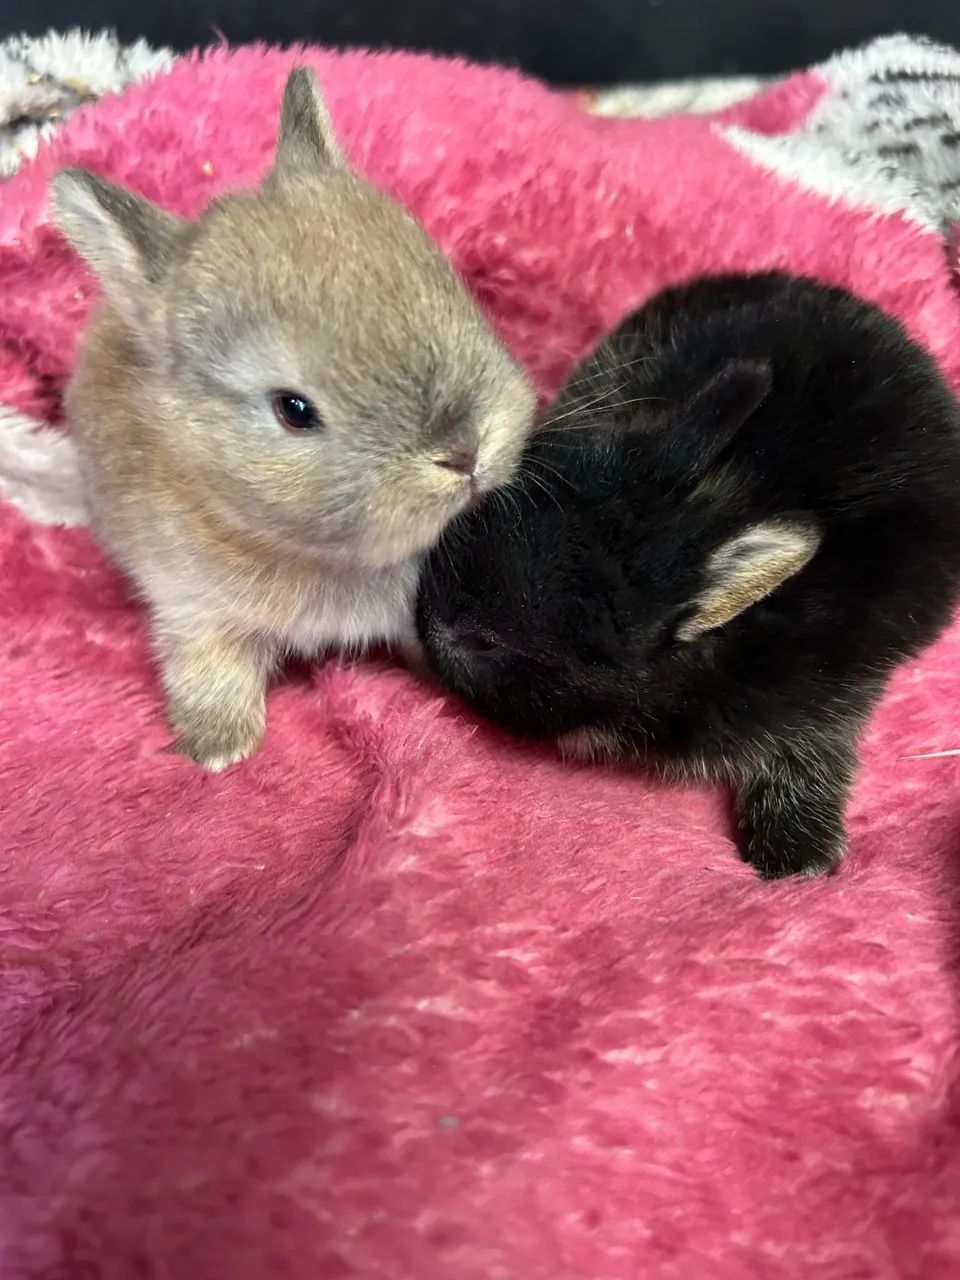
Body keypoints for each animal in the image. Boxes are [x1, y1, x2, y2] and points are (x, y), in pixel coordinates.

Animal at [50, 68, 535, 770]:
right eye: (294, 410)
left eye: (451, 291)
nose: (463, 452)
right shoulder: (191, 606)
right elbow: (207, 668)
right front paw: (218, 750)